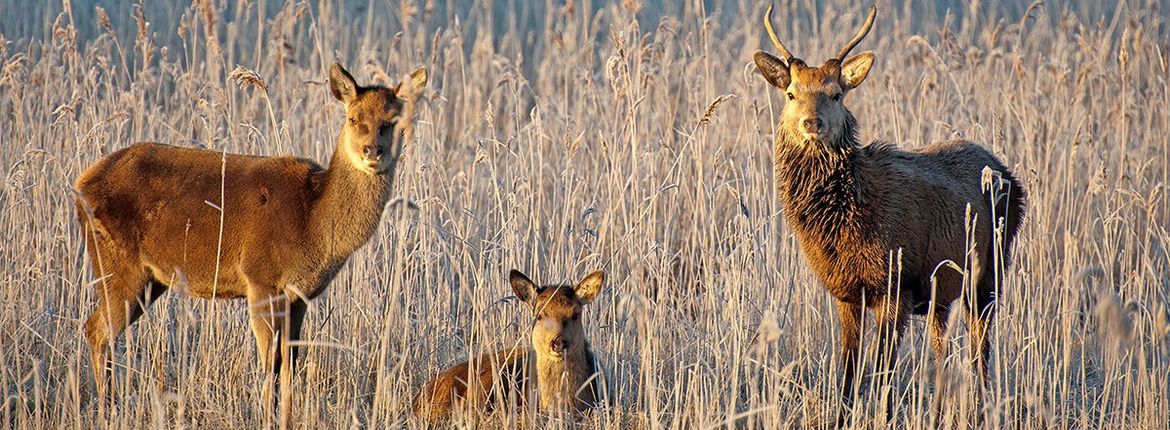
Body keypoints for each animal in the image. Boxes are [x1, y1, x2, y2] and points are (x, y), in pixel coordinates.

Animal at [75, 63, 428, 401]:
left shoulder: (299, 297)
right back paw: (107, 407)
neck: (312, 220)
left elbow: (289, 367)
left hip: (151, 279)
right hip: (117, 264)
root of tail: (80, 185)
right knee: (97, 330)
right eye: (354, 118)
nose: (373, 151)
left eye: (394, 120)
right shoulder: (260, 278)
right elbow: (270, 364)